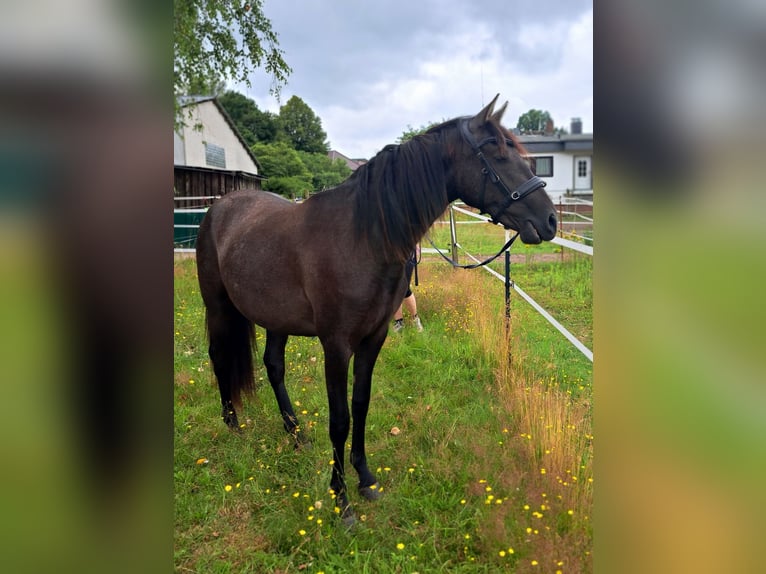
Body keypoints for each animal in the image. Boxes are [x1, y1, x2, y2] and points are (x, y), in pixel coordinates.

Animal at [198, 95, 560, 528]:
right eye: (496, 151)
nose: (550, 220)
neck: (362, 238)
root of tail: (219, 208)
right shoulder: (336, 345)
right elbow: (340, 419)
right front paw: (341, 501)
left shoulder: (373, 338)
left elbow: (361, 405)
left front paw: (366, 479)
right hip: (217, 306)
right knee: (220, 357)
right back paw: (233, 425)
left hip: (275, 318)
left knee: (273, 366)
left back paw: (295, 432)